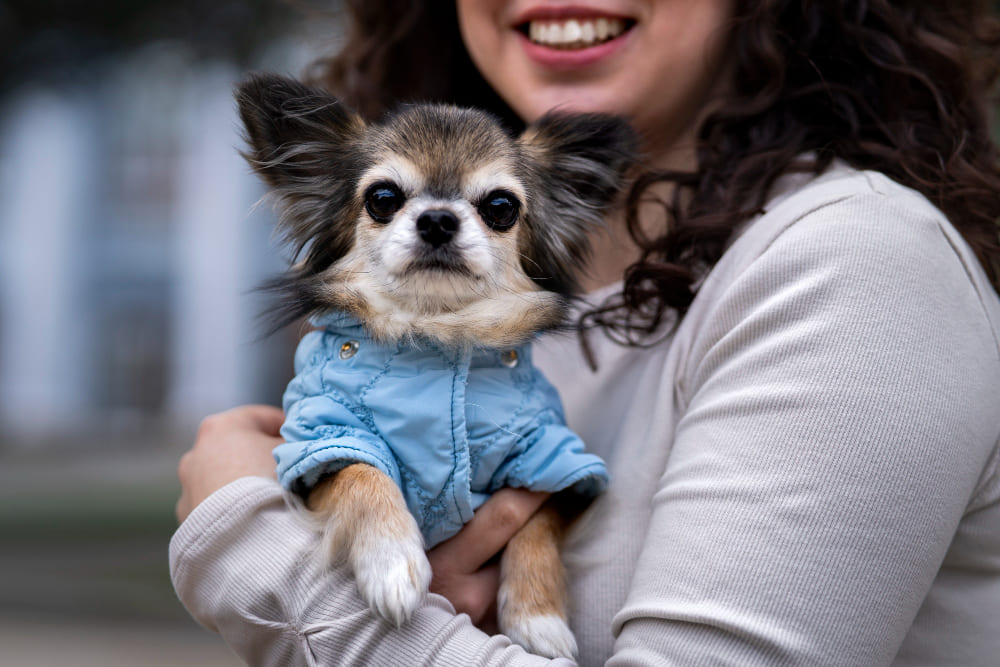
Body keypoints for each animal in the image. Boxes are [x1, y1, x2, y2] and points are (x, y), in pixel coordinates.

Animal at [236, 73, 632, 656]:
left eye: (500, 207)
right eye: (383, 199)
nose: (439, 219)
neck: (437, 331)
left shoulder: (552, 458)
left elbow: (536, 520)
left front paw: (539, 617)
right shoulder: (319, 443)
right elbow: (361, 472)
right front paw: (392, 563)